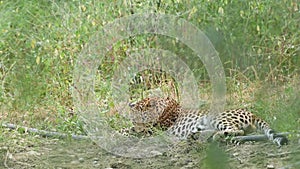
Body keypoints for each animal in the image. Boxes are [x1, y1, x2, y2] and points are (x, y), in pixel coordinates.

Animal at [128, 97, 288, 146]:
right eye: (134, 119)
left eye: (141, 118)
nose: (137, 127)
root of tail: (251, 113)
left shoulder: (154, 129)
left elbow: (128, 130)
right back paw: (196, 135)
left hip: (219, 118)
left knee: (238, 130)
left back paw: (214, 136)